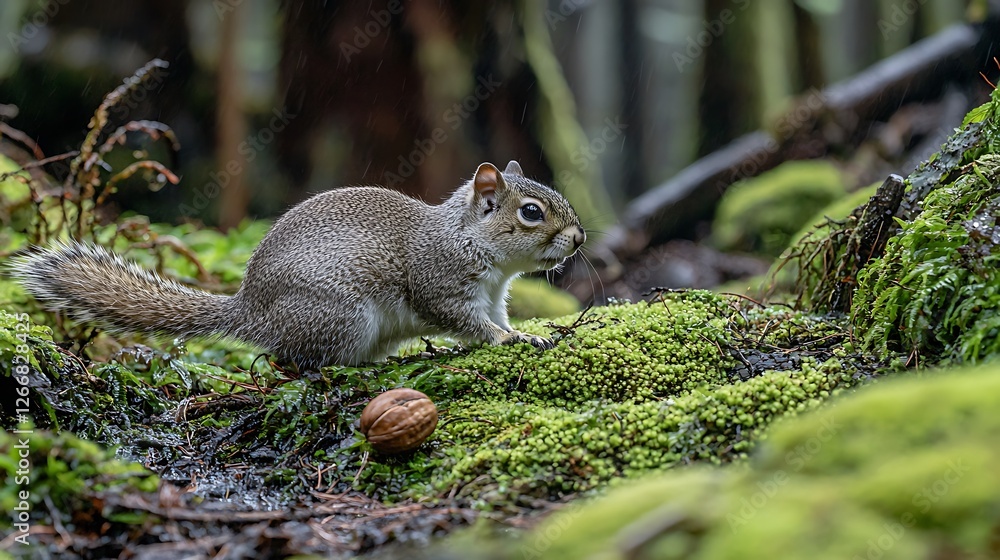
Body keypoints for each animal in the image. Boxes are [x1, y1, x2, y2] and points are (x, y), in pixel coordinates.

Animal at [10, 160, 586, 368]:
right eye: (531, 213)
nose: (580, 238)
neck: (469, 240)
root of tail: (250, 312)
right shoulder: (440, 282)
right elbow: (466, 322)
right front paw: (510, 340)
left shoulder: (495, 295)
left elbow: (497, 317)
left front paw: (527, 332)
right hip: (341, 317)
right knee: (301, 360)